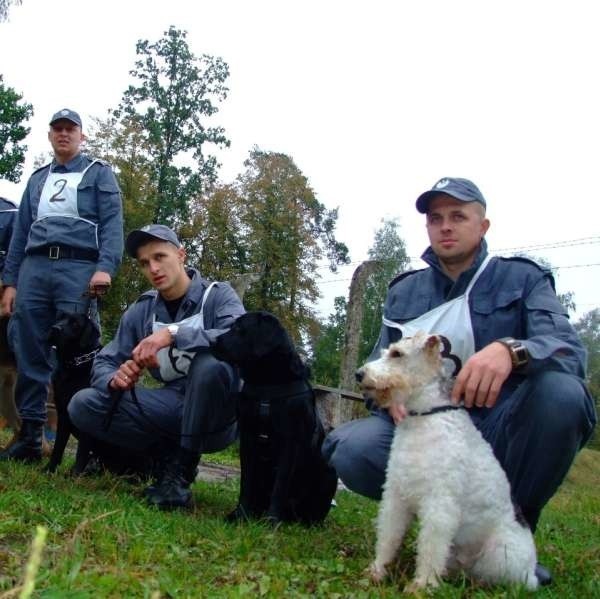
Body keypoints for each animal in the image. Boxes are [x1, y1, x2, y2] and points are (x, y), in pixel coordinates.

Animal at [45, 312, 101, 476]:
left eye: (75, 324)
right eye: (59, 318)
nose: (55, 329)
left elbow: (81, 453)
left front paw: (74, 477)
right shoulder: (63, 415)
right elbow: (58, 447)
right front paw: (48, 470)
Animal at [211, 312, 338, 528]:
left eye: (239, 328)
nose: (212, 341)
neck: (266, 385)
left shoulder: (290, 443)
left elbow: (280, 486)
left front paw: (271, 521)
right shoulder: (248, 438)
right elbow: (246, 482)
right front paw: (240, 514)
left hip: (329, 474)